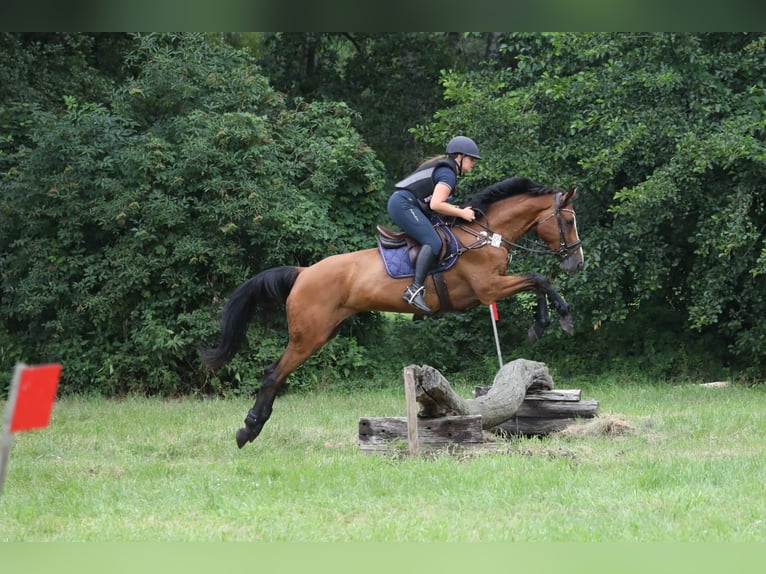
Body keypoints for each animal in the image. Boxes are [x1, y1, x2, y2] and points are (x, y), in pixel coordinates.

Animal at [201, 177, 584, 450]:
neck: (485, 235)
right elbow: (539, 279)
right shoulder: (488, 289)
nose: (577, 263)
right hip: (309, 336)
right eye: (567, 220)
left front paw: (542, 325)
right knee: (273, 374)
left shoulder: (493, 288)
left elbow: (538, 283)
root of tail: (303, 272)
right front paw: (561, 318)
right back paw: (248, 430)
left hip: (323, 332)